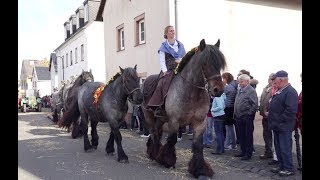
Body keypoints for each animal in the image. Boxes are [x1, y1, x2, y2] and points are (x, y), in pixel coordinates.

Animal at [141, 38, 226, 178]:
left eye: (220, 64)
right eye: (205, 63)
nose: (218, 90)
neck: (191, 92)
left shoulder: (199, 122)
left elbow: (198, 145)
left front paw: (200, 169)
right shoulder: (174, 121)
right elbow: (172, 140)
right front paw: (167, 160)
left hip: (161, 119)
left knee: (157, 132)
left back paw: (153, 151)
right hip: (149, 116)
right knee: (154, 133)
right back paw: (154, 154)